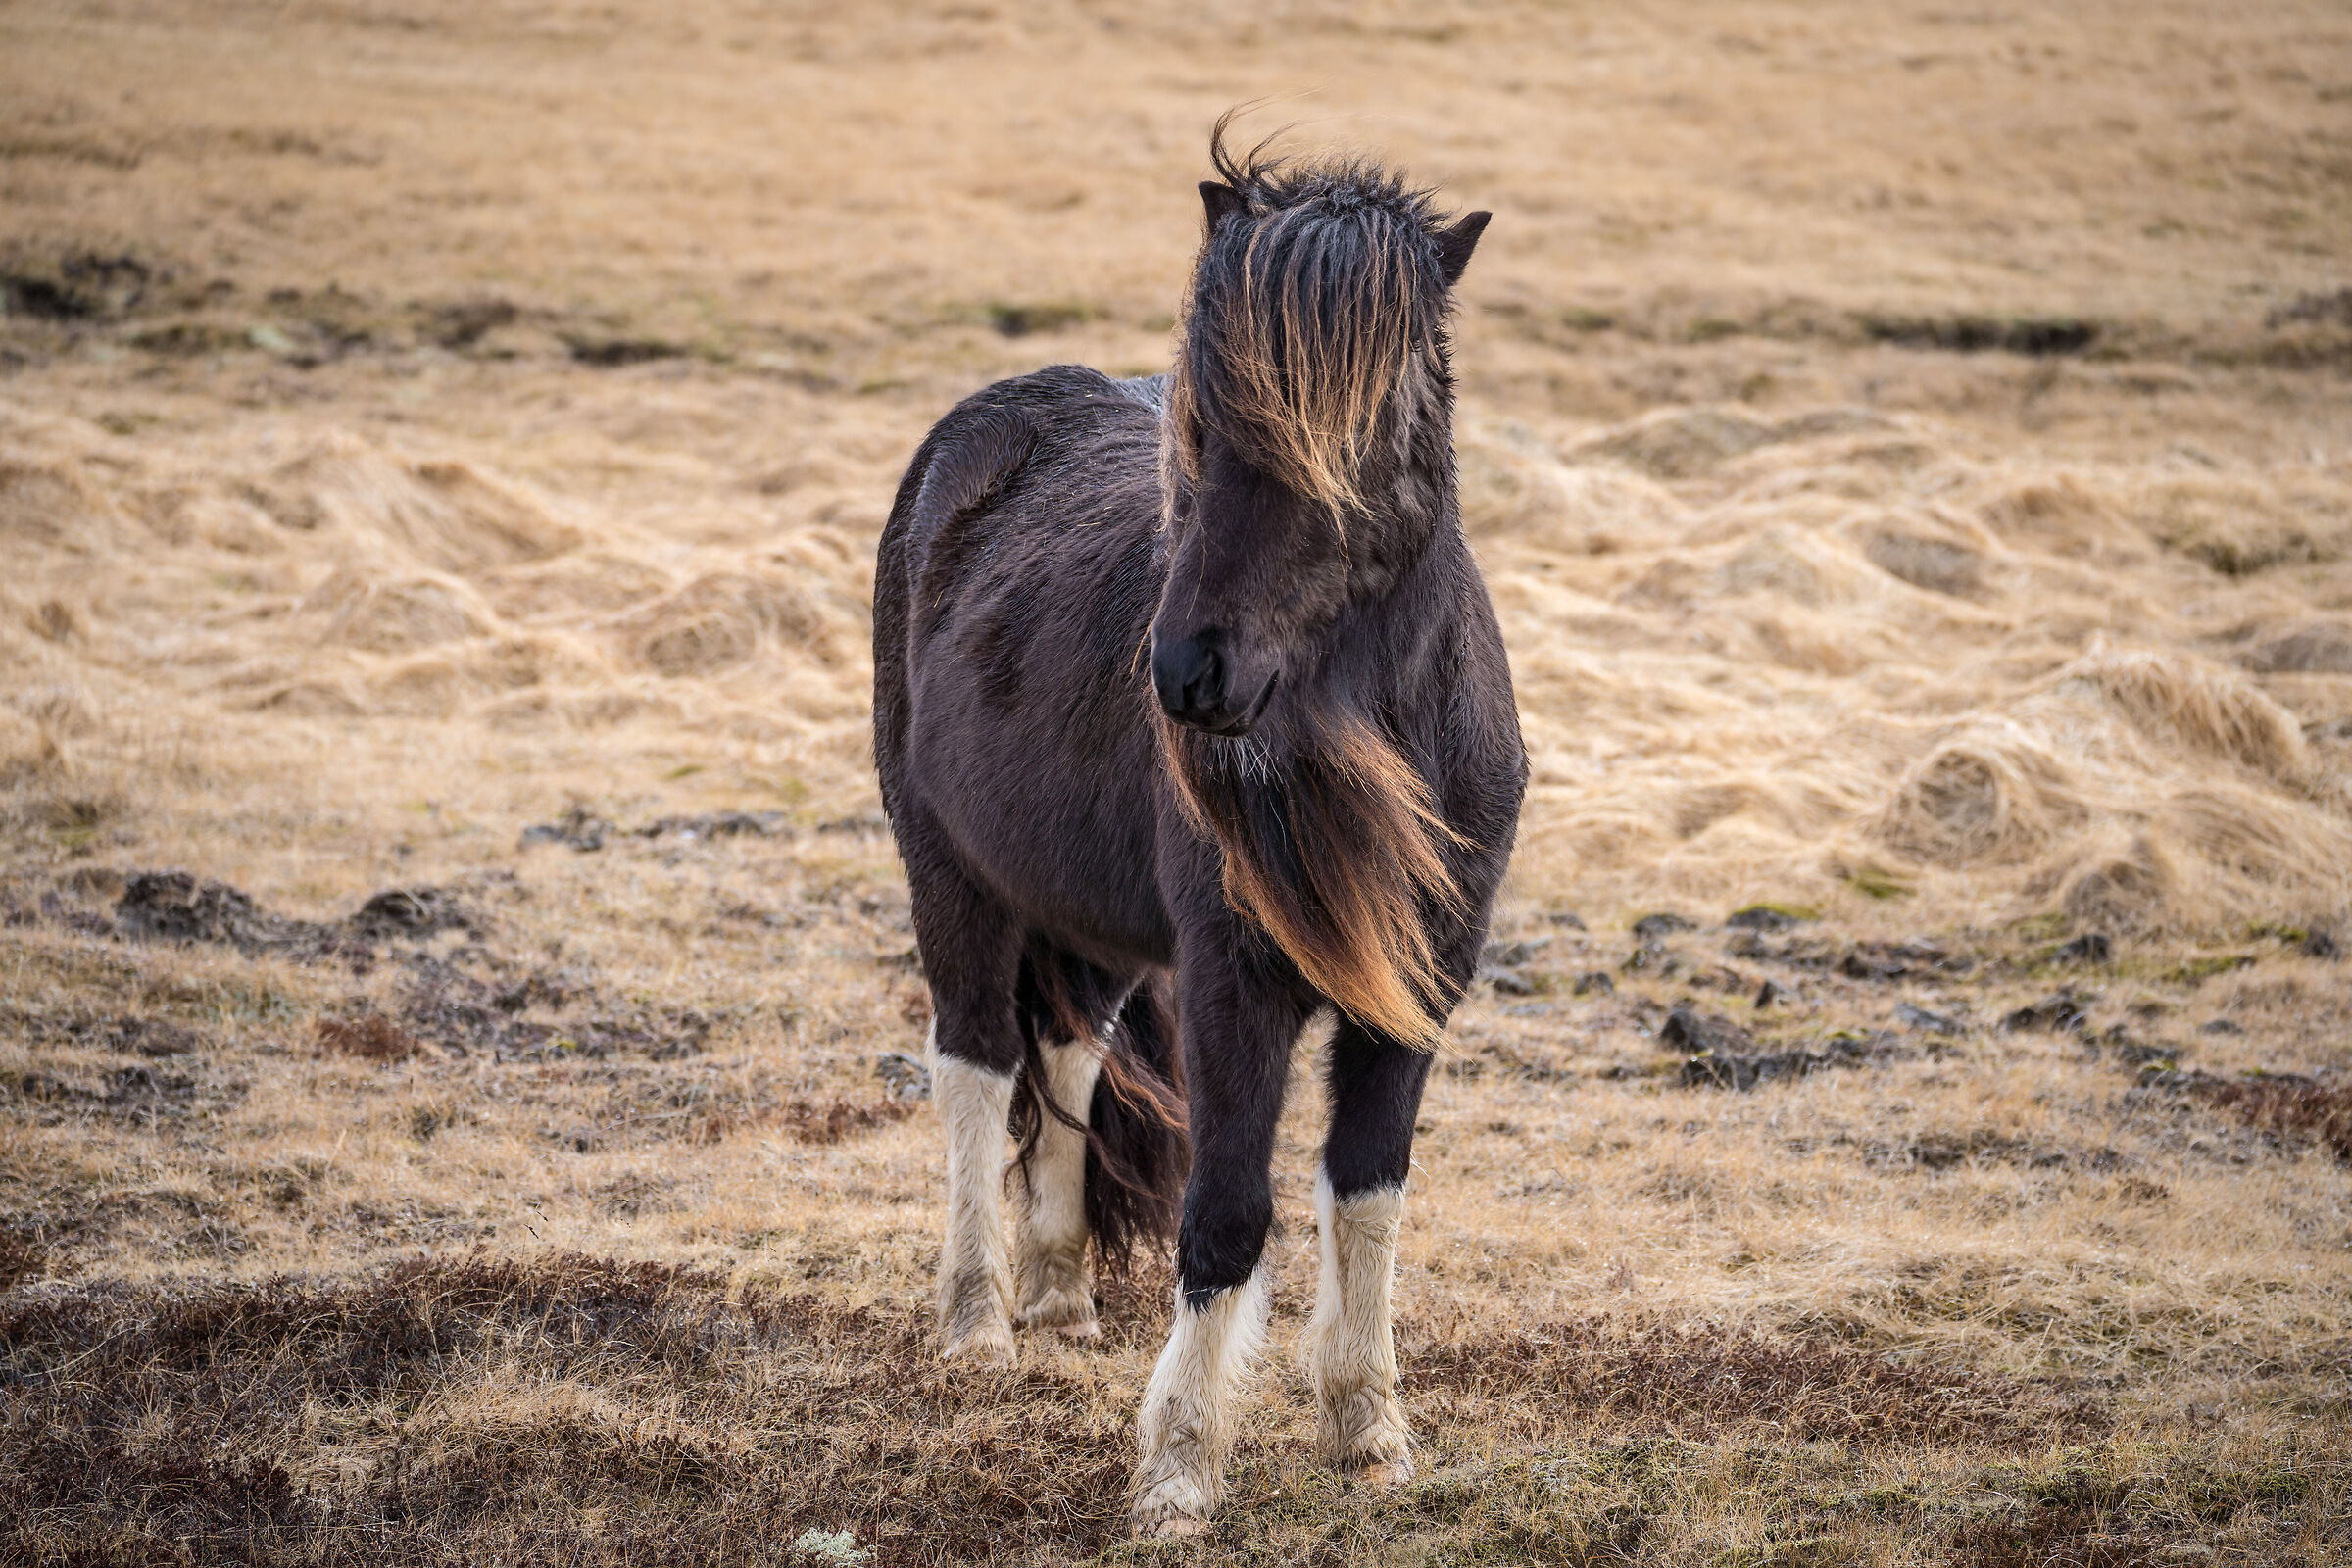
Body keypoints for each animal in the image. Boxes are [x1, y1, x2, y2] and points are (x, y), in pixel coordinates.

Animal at [871, 120, 1527, 1537]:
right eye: (1206, 421)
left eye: (1363, 424)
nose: (1186, 674)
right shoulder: (1235, 985)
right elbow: (1225, 1212)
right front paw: (1178, 1468)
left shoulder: (1419, 982)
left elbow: (1370, 1189)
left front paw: (1368, 1428)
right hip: (951, 877)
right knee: (977, 1066)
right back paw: (978, 1324)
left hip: (1092, 920)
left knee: (1068, 1054)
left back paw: (1061, 1296)